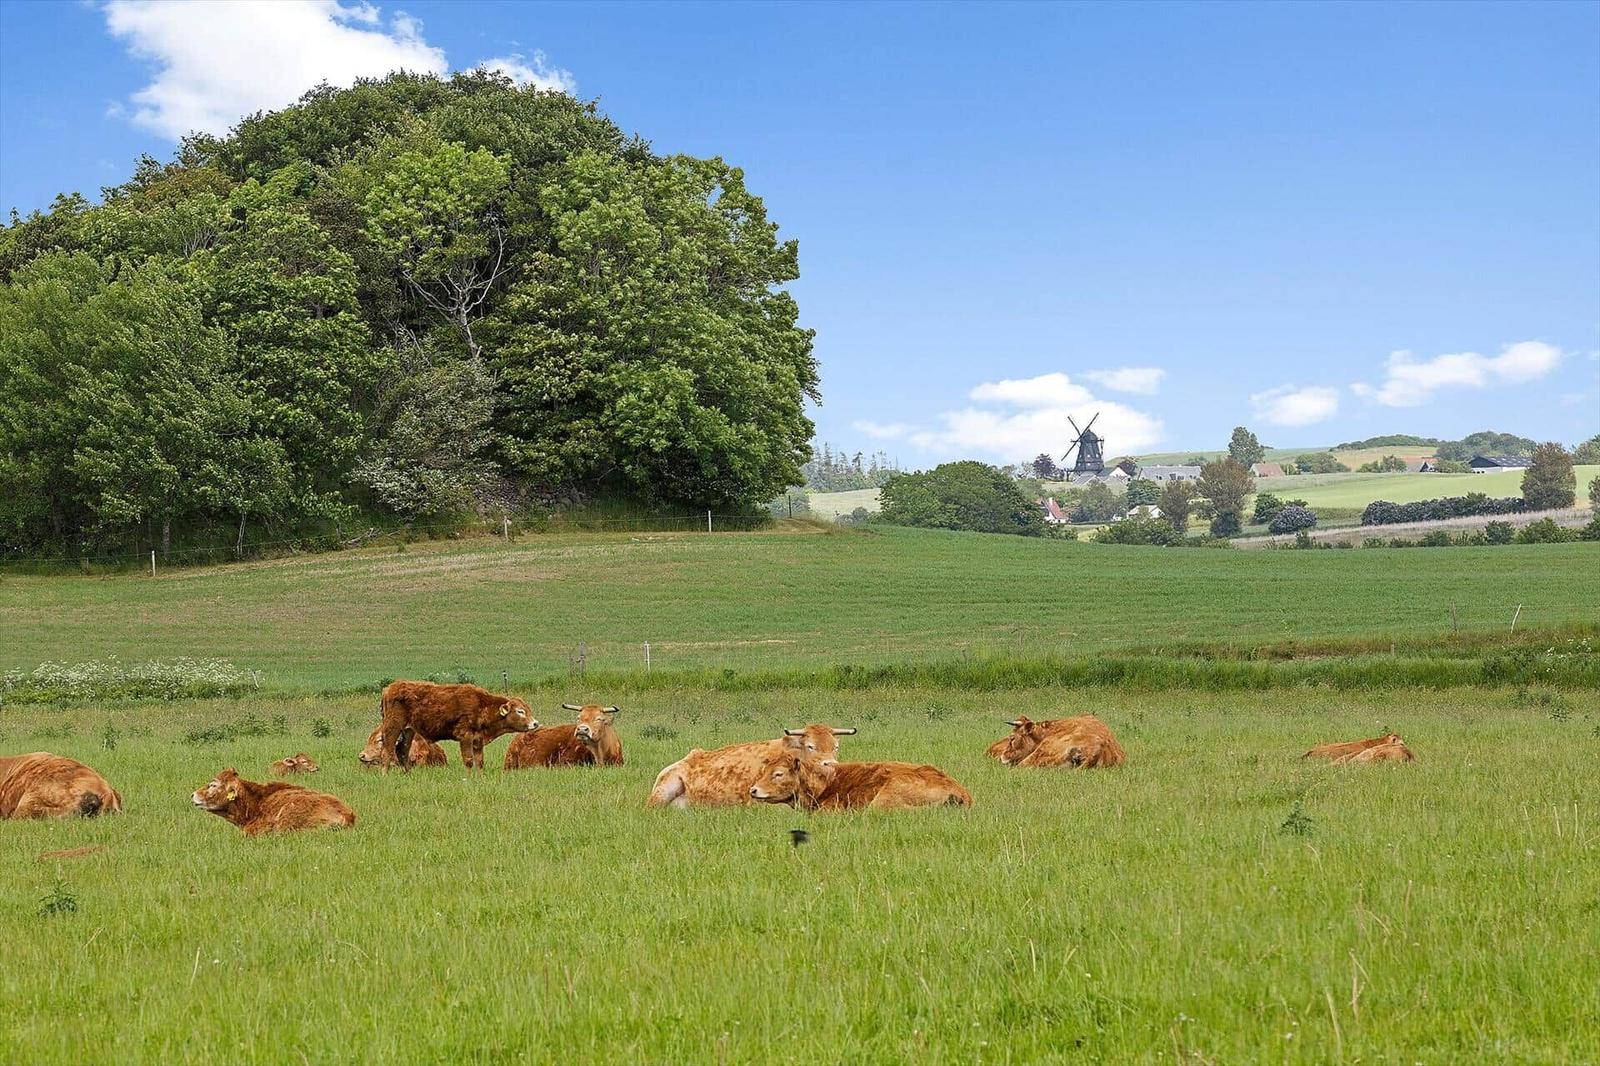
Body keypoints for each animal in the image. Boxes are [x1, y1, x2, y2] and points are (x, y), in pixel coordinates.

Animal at [376, 680, 537, 770]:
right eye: (520, 711)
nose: (535, 723)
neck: (482, 705)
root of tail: (389, 688)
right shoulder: (465, 737)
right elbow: (469, 761)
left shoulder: (477, 740)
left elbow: (479, 762)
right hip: (393, 727)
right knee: (387, 752)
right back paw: (385, 776)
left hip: (409, 730)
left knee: (402, 751)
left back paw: (408, 774)